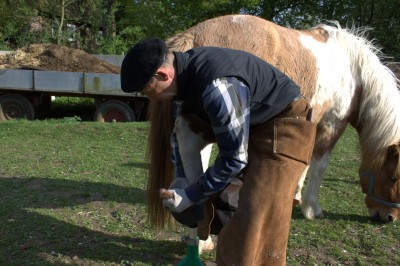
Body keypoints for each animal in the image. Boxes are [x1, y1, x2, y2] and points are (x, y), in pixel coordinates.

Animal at [147, 14, 400, 235]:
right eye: (394, 177)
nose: (388, 217)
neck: (353, 69)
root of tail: (193, 34)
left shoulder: (311, 123)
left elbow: (305, 163)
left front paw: (296, 196)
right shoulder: (332, 124)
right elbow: (319, 166)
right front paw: (311, 208)